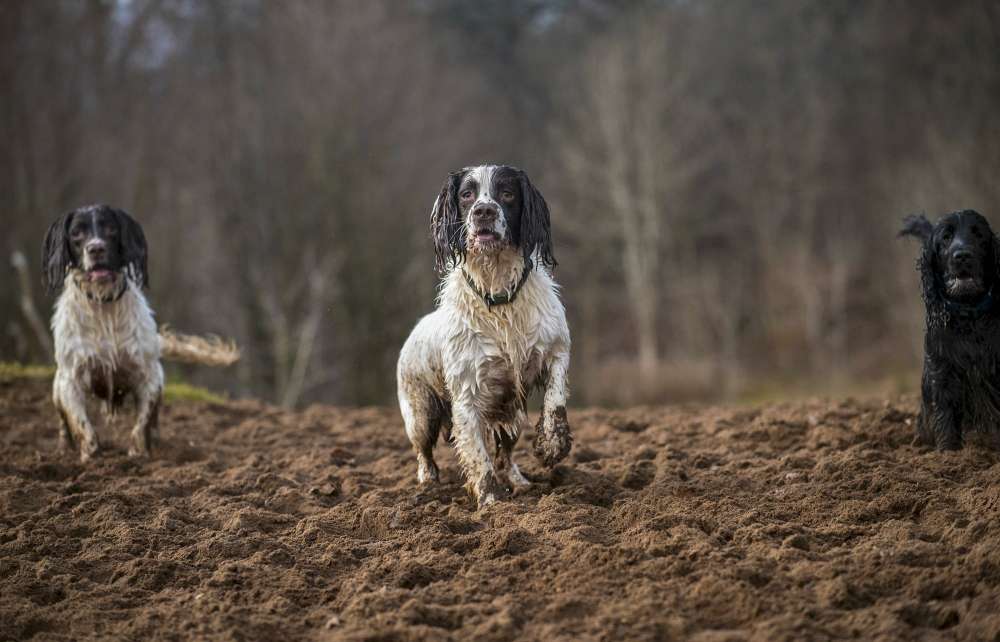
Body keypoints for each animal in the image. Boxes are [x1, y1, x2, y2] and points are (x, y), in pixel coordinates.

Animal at [396, 168, 572, 508]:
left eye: (507, 193)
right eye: (467, 195)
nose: (484, 211)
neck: (500, 297)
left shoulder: (555, 351)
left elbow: (555, 400)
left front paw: (552, 445)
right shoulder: (466, 396)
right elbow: (479, 456)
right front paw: (491, 503)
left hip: (512, 415)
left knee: (506, 454)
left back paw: (520, 481)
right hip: (420, 413)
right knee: (423, 450)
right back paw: (428, 482)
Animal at [900, 208, 1000, 448]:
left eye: (978, 234)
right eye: (946, 237)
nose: (962, 255)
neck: (969, 313)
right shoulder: (943, 369)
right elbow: (945, 412)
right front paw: (949, 452)